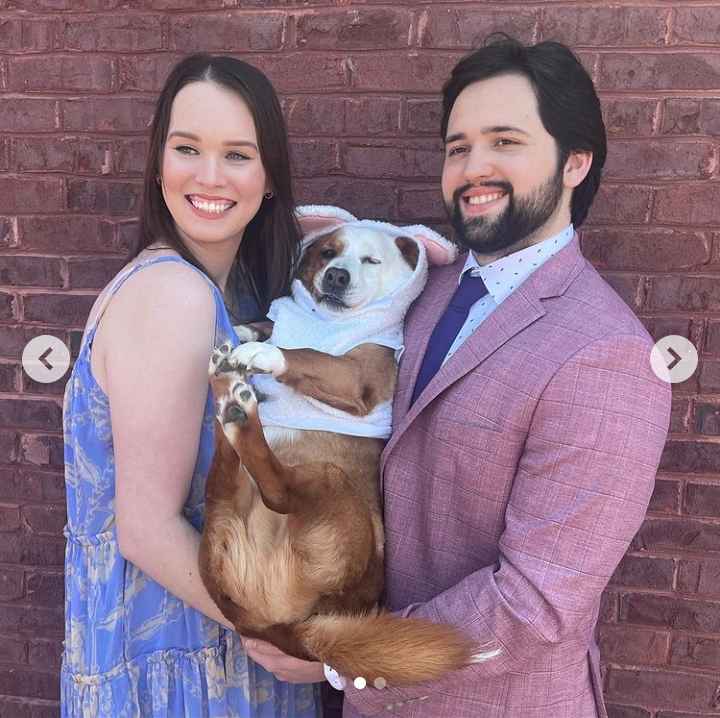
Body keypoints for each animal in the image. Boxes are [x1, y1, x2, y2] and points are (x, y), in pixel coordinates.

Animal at [200, 207, 498, 688]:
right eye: (326, 252)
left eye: (371, 261)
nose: (336, 276)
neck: (328, 322)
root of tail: (276, 625)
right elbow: (272, 322)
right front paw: (248, 329)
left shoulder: (359, 374)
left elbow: (308, 354)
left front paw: (265, 354)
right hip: (221, 520)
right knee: (225, 475)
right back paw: (228, 392)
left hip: (330, 486)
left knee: (278, 490)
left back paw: (236, 400)